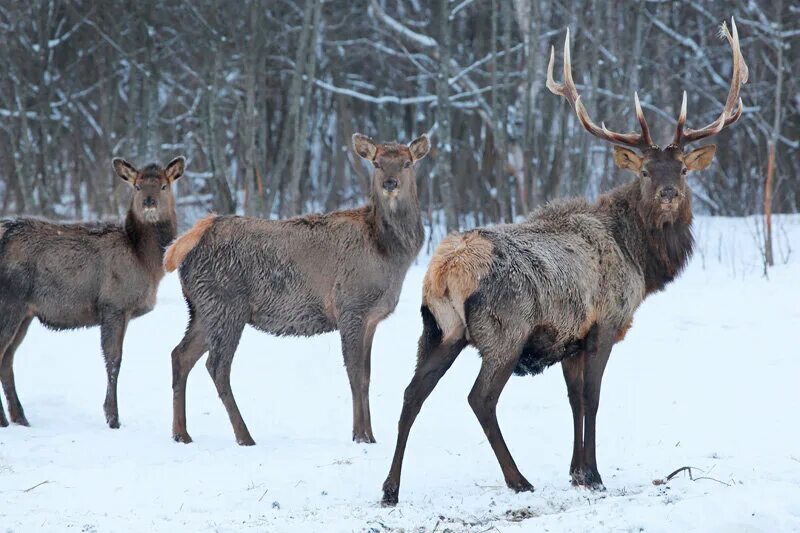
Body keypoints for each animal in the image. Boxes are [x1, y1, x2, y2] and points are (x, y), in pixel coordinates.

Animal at [0, 157, 183, 428]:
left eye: (164, 185)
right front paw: (113, 417)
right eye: (137, 186)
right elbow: (114, 360)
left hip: (25, 313)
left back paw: (20, 417)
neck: (144, 261)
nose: (149, 202)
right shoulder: (114, 304)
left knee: (7, 358)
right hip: (10, 300)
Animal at [167, 133, 432, 444]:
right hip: (226, 304)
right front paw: (360, 435)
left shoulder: (371, 318)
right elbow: (355, 373)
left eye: (406, 163)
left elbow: (367, 375)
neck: (390, 255)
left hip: (202, 308)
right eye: (377, 163)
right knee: (217, 366)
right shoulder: (350, 307)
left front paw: (371, 435)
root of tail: (182, 247)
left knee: (180, 355)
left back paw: (181, 433)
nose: (390, 183)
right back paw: (244, 436)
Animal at [380, 18, 744, 504]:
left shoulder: (571, 339)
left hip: (438, 330)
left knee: (410, 394)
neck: (639, 260)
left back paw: (390, 488)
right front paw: (594, 473)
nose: (669, 194)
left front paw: (576, 471)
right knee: (480, 398)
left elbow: (572, 399)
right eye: (645, 171)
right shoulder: (605, 323)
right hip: (504, 332)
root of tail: (446, 270)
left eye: (683, 170)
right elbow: (592, 397)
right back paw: (518, 479)